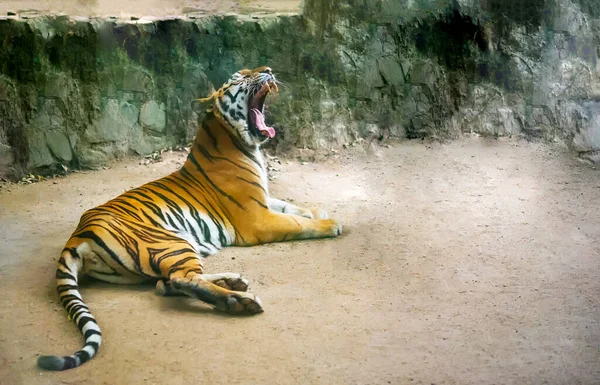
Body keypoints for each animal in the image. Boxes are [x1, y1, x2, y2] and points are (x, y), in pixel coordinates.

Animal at [39, 66, 342, 368]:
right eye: (241, 77)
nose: (268, 69)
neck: (239, 141)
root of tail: (77, 235)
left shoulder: (264, 201)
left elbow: (291, 207)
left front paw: (319, 211)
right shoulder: (257, 218)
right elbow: (297, 223)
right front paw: (331, 224)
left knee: (165, 283)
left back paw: (232, 281)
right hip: (170, 242)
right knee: (180, 280)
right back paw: (239, 300)